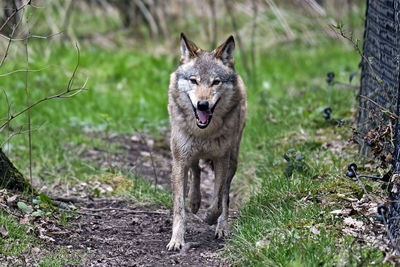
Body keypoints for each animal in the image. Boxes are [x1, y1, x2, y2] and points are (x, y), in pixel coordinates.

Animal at [166, 33, 247, 251]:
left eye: (216, 82)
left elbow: (218, 200)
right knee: (195, 169)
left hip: (233, 160)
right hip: (188, 155)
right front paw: (176, 240)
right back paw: (194, 202)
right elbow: (179, 207)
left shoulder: (222, 160)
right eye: (194, 81)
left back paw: (221, 228)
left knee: (225, 195)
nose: (203, 104)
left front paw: (210, 218)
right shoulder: (179, 160)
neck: (204, 133)